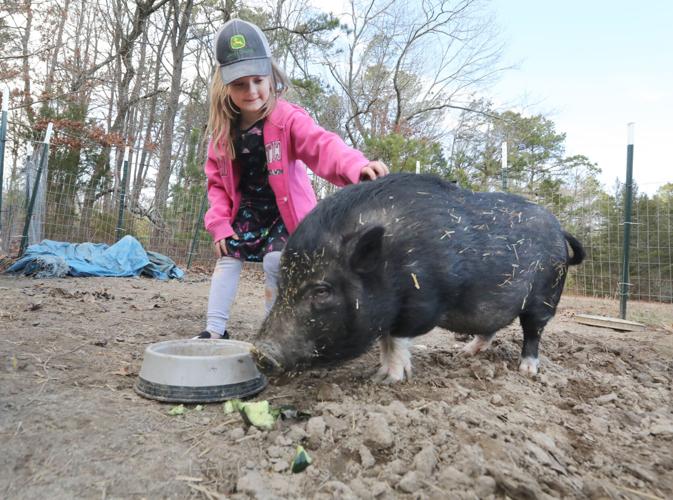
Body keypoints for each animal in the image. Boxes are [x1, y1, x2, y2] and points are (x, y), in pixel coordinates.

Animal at [252, 173, 584, 382]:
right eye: (281, 284)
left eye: (321, 291)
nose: (260, 352)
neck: (390, 263)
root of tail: (561, 228)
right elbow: (385, 340)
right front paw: (379, 375)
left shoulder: (422, 303)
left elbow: (396, 339)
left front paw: (388, 379)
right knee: (490, 328)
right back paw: (463, 354)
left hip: (546, 295)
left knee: (533, 332)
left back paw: (527, 371)